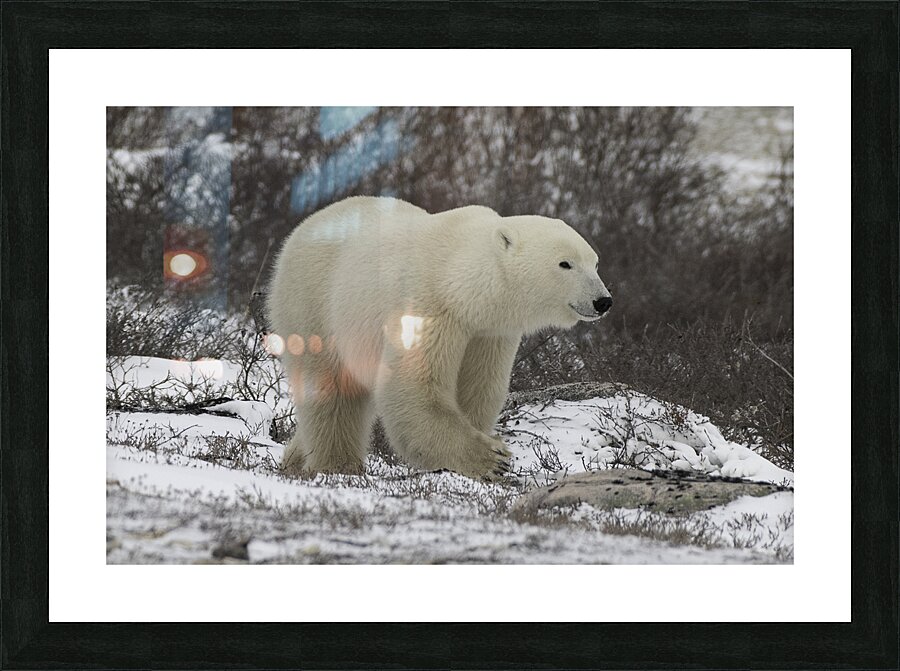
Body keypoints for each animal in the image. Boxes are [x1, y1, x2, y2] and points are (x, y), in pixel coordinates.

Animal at [267, 196, 612, 479]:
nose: (603, 301)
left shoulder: (489, 332)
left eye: (595, 262)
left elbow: (478, 389)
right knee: (331, 389)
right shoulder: (429, 308)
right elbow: (414, 388)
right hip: (314, 302)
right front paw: (492, 458)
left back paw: (294, 460)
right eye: (565, 263)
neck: (460, 281)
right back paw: (337, 465)